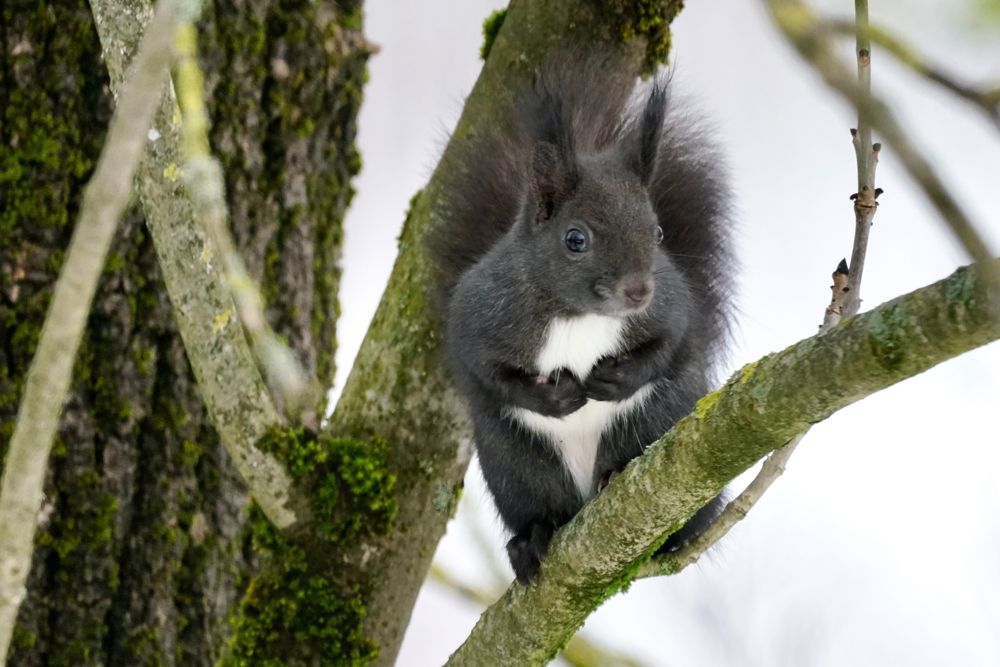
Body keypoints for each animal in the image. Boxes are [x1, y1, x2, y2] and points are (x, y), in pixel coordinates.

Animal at [428, 62, 728, 584]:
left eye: (658, 232)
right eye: (575, 239)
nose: (638, 292)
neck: (580, 316)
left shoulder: (672, 307)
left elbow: (670, 345)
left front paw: (618, 377)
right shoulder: (479, 318)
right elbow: (488, 373)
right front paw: (554, 397)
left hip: (658, 419)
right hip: (518, 468)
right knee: (542, 508)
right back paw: (531, 541)